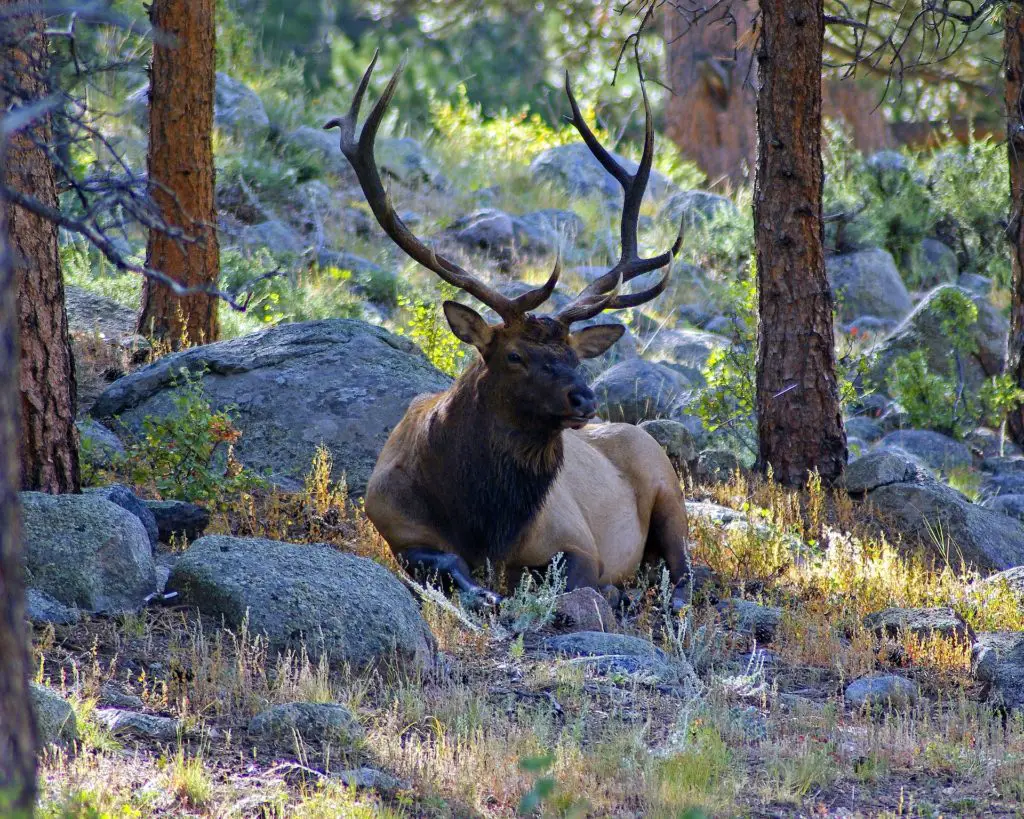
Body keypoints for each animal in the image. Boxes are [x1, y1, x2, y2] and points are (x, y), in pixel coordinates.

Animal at [327, 52, 692, 606]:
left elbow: (572, 581)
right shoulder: (394, 525)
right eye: (514, 356)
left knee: (687, 570)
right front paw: (485, 592)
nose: (585, 398)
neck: (485, 525)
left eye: (576, 357)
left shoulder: (577, 540)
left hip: (668, 487)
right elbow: (445, 562)